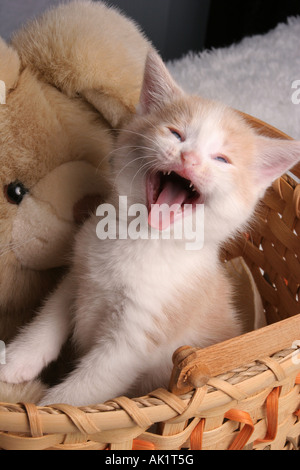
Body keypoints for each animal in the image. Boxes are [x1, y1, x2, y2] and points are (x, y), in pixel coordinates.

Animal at [0, 49, 300, 406]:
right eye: (175, 133)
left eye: (221, 159)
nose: (188, 158)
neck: (140, 238)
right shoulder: (77, 275)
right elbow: (48, 319)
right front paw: (17, 361)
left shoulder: (136, 338)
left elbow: (82, 392)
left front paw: (48, 410)